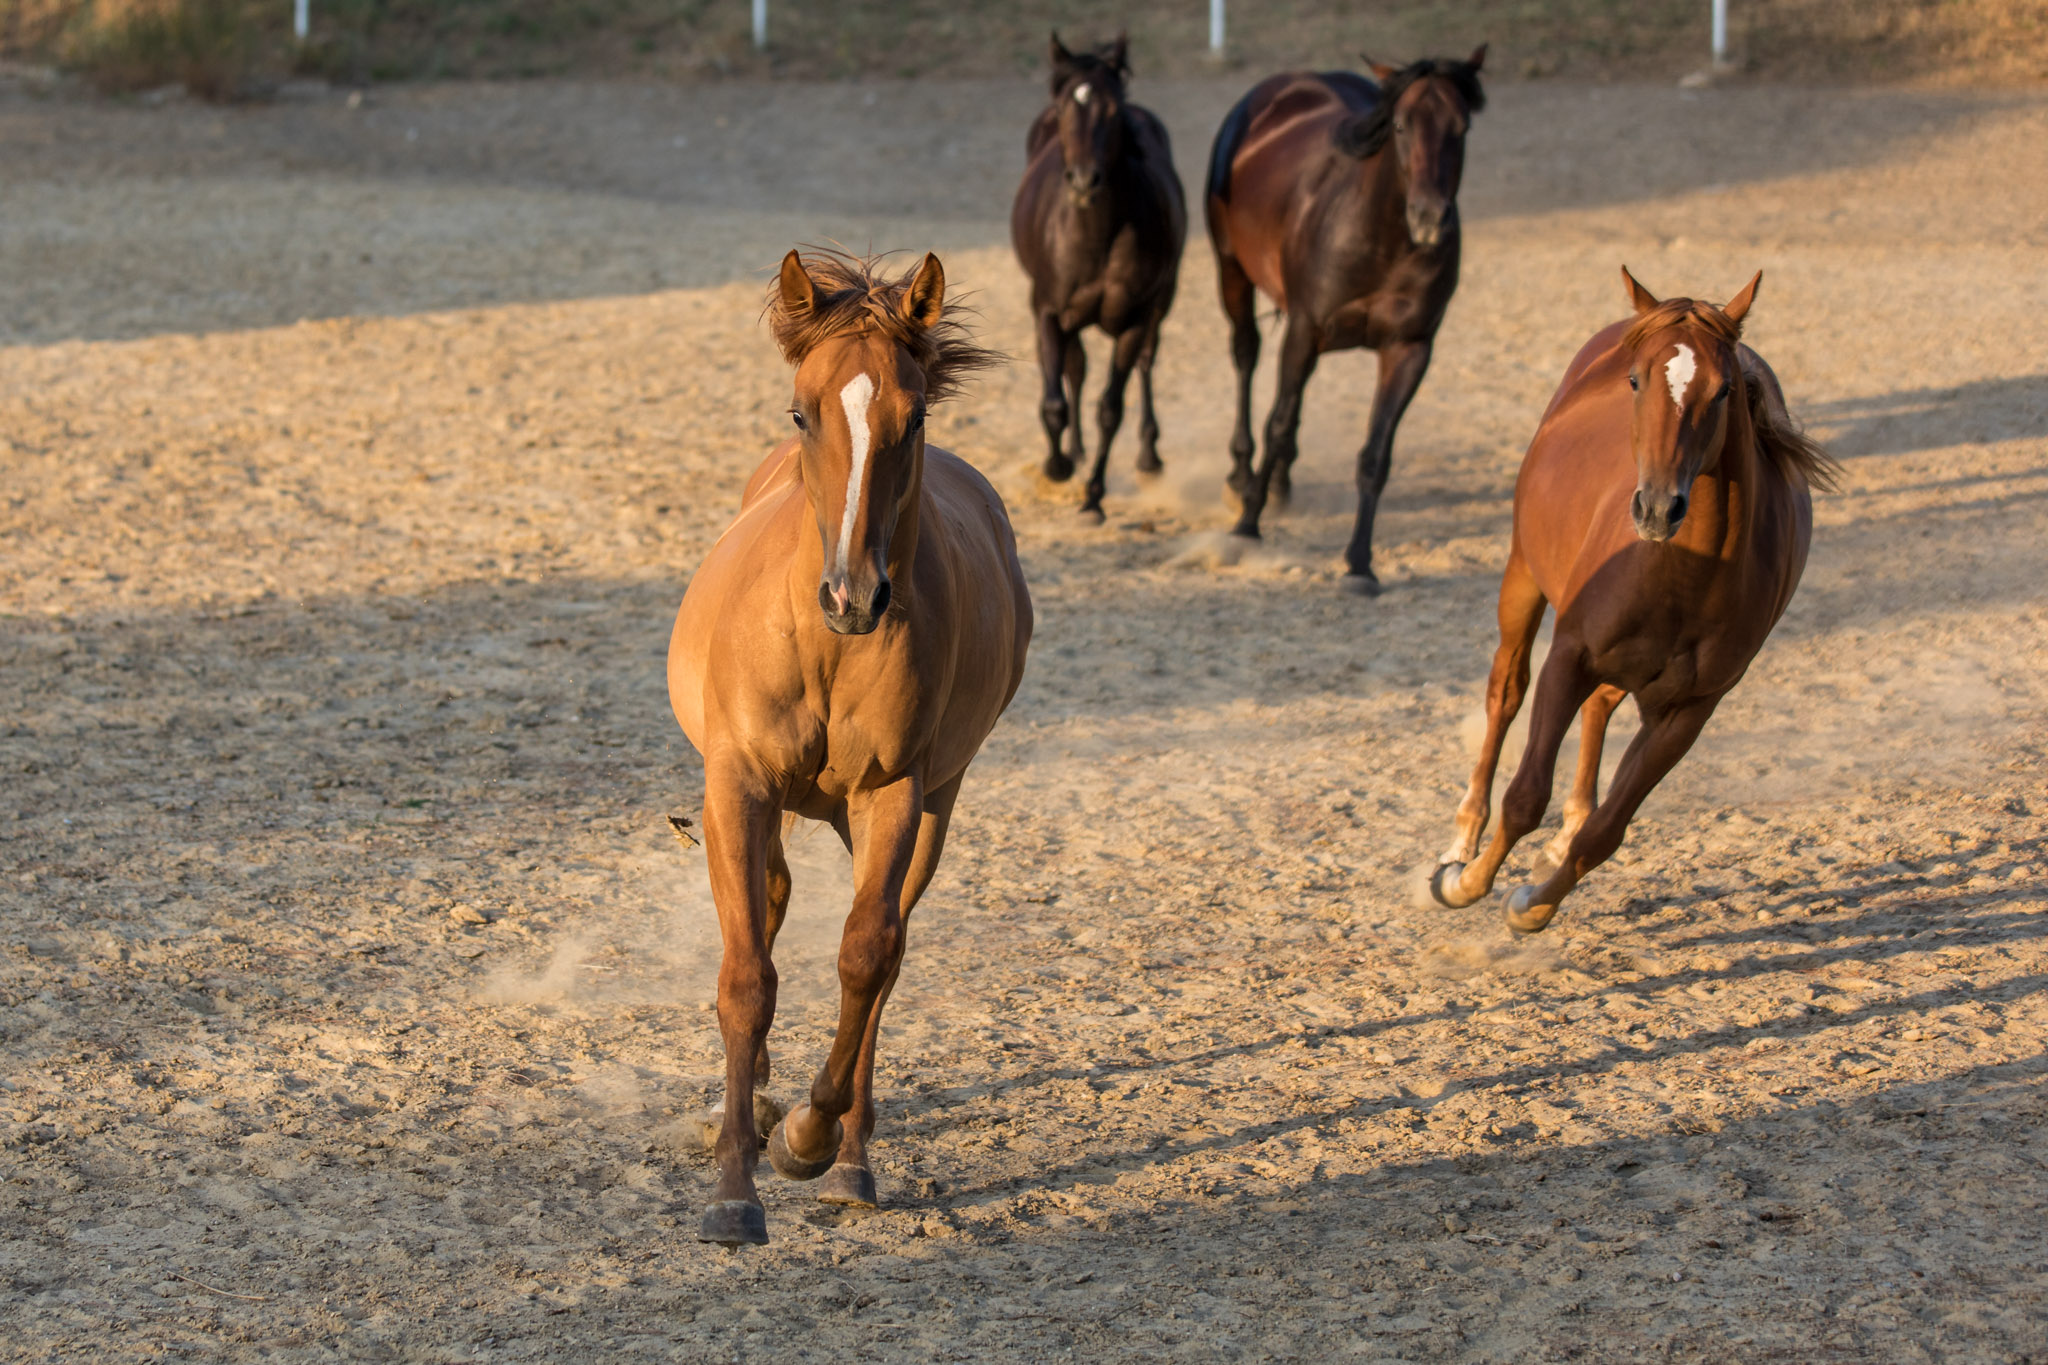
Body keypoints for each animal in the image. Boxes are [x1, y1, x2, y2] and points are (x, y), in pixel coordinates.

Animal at [667, 250, 1033, 1245]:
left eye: (916, 416)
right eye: (803, 411)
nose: (853, 595)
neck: (824, 644)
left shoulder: (897, 792)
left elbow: (866, 957)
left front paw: (809, 1138)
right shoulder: (739, 786)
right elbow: (747, 974)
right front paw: (734, 1185)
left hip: (930, 805)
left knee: (886, 951)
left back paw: (849, 1161)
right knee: (773, 906)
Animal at [1011, 31, 1187, 520]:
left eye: (1112, 110)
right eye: (1063, 109)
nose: (1084, 181)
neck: (1096, 238)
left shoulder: (1134, 319)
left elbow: (1111, 407)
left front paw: (1093, 497)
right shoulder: (1049, 311)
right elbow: (1053, 401)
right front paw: (1057, 466)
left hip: (1160, 303)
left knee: (1145, 362)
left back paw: (1148, 456)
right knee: (1073, 368)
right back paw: (1074, 450)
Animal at [1205, 47, 1486, 595]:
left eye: (1461, 127)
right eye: (1400, 125)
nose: (1429, 219)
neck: (1381, 238)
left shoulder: (1409, 349)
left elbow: (1375, 454)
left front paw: (1359, 563)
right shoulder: (1304, 329)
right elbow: (1275, 423)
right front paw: (1247, 525)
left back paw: (1281, 483)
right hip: (1232, 271)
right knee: (1246, 356)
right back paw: (1242, 476)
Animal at [1428, 268, 1838, 934]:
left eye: (1725, 390)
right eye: (1636, 380)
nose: (1657, 507)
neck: (1684, 574)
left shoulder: (1689, 711)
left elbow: (1607, 833)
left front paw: (1532, 904)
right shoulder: (1569, 656)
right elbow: (1525, 795)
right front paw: (1465, 883)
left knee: (1599, 711)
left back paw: (1559, 838)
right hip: (1523, 575)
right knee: (1506, 691)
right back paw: (1462, 841)